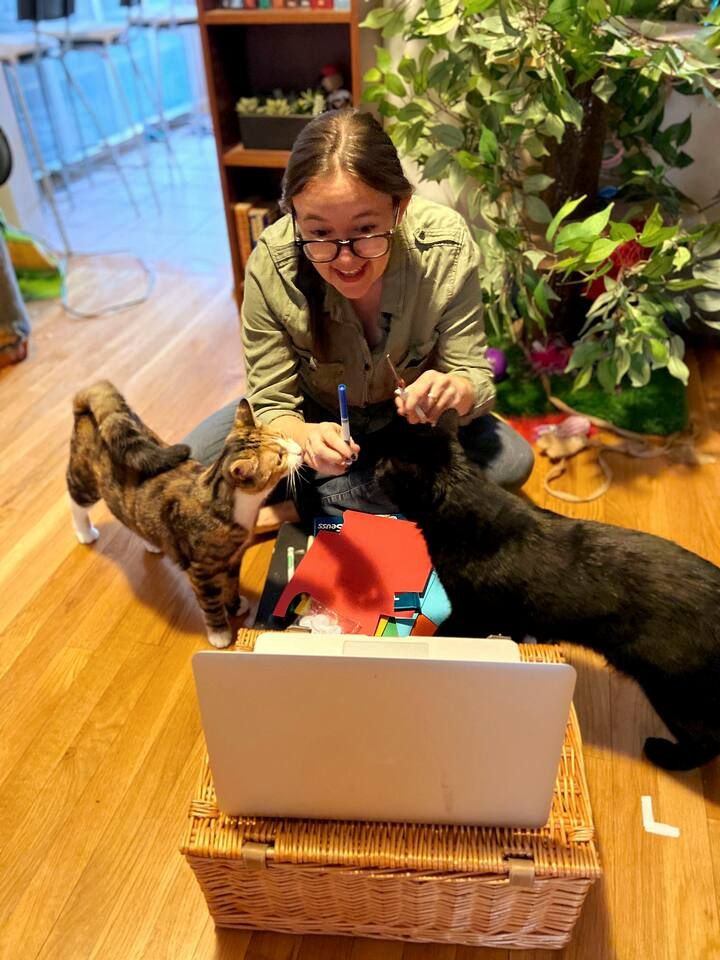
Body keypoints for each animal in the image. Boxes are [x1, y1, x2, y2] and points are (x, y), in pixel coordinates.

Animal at [67, 380, 300, 644]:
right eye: (280, 458)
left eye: (282, 436)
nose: (299, 450)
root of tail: (88, 407)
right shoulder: (201, 570)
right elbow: (211, 603)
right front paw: (220, 633)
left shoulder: (234, 557)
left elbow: (232, 584)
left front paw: (235, 605)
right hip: (84, 479)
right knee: (75, 501)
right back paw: (84, 532)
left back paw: (151, 542)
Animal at [374, 414, 720, 772]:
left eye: (386, 463)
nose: (374, 464)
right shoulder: (506, 618)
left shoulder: (473, 613)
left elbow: (445, 635)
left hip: (672, 689)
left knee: (708, 740)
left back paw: (665, 754)